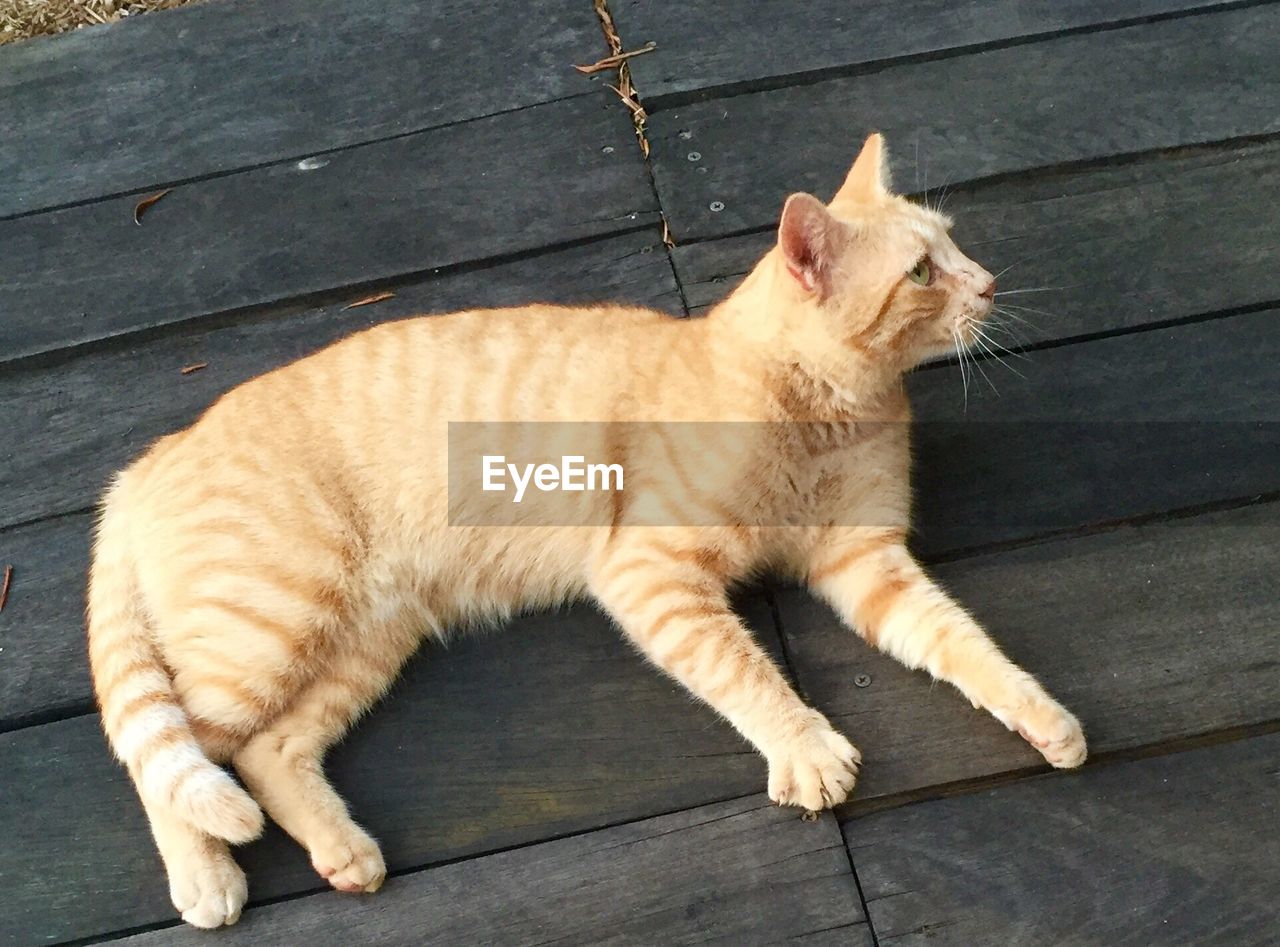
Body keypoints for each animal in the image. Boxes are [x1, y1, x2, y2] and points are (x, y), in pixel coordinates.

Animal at [85, 136, 1085, 926]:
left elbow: (961, 642)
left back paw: (344, 851)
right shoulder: (652, 574)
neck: (822, 407)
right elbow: (746, 673)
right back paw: (207, 874)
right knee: (171, 755)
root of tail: (148, 460)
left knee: (266, 750)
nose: (989, 281)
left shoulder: (865, 562)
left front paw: (1041, 716)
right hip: (270, 626)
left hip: (362, 637)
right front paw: (804, 747)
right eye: (921, 272)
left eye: (953, 245)